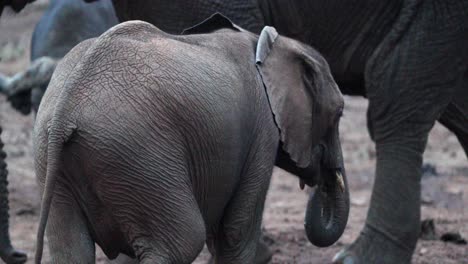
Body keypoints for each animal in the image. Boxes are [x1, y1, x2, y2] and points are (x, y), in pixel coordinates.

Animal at [34, 14, 350, 264]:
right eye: (339, 113)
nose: (319, 180)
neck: (269, 44)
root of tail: (66, 109)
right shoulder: (262, 130)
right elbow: (234, 235)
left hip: (61, 160)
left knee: (70, 249)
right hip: (137, 155)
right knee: (181, 241)